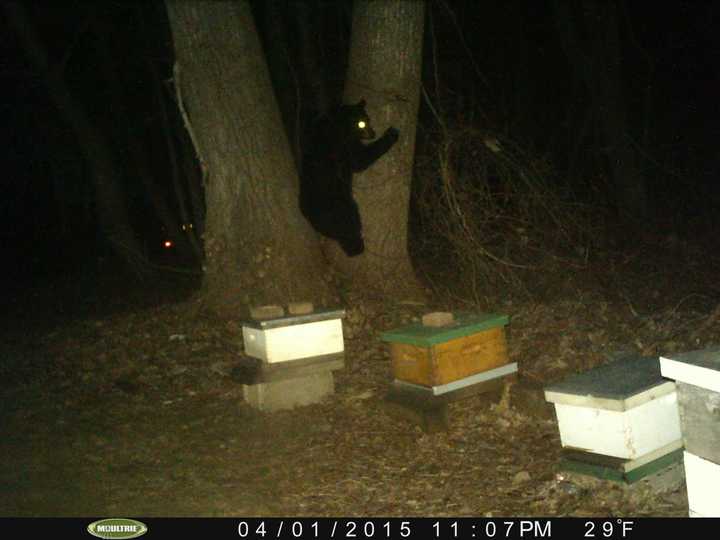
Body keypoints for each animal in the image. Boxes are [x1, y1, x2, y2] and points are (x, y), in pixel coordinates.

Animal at [298, 99, 400, 258]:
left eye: (368, 119)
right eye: (362, 123)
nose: (373, 133)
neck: (337, 123)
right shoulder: (345, 144)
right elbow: (360, 160)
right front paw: (391, 134)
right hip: (343, 208)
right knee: (350, 229)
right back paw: (358, 245)